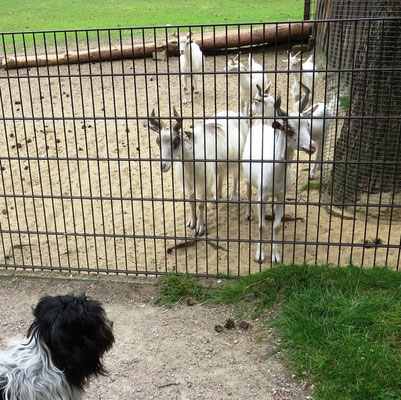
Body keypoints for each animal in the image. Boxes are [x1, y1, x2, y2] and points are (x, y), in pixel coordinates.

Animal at [148, 108, 247, 236]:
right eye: (158, 141)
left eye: (176, 141)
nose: (163, 166)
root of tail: (235, 113)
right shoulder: (188, 181)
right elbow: (191, 202)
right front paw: (192, 222)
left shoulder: (203, 181)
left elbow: (200, 204)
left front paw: (200, 228)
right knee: (221, 175)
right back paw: (217, 196)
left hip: (238, 158)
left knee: (236, 176)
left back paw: (233, 196)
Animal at [242, 92, 314, 264]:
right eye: (289, 129)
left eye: (308, 125)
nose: (312, 146)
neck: (275, 172)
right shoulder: (262, 197)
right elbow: (262, 226)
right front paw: (259, 256)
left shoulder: (282, 195)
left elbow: (277, 226)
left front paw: (276, 256)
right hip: (247, 177)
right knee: (248, 191)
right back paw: (248, 214)